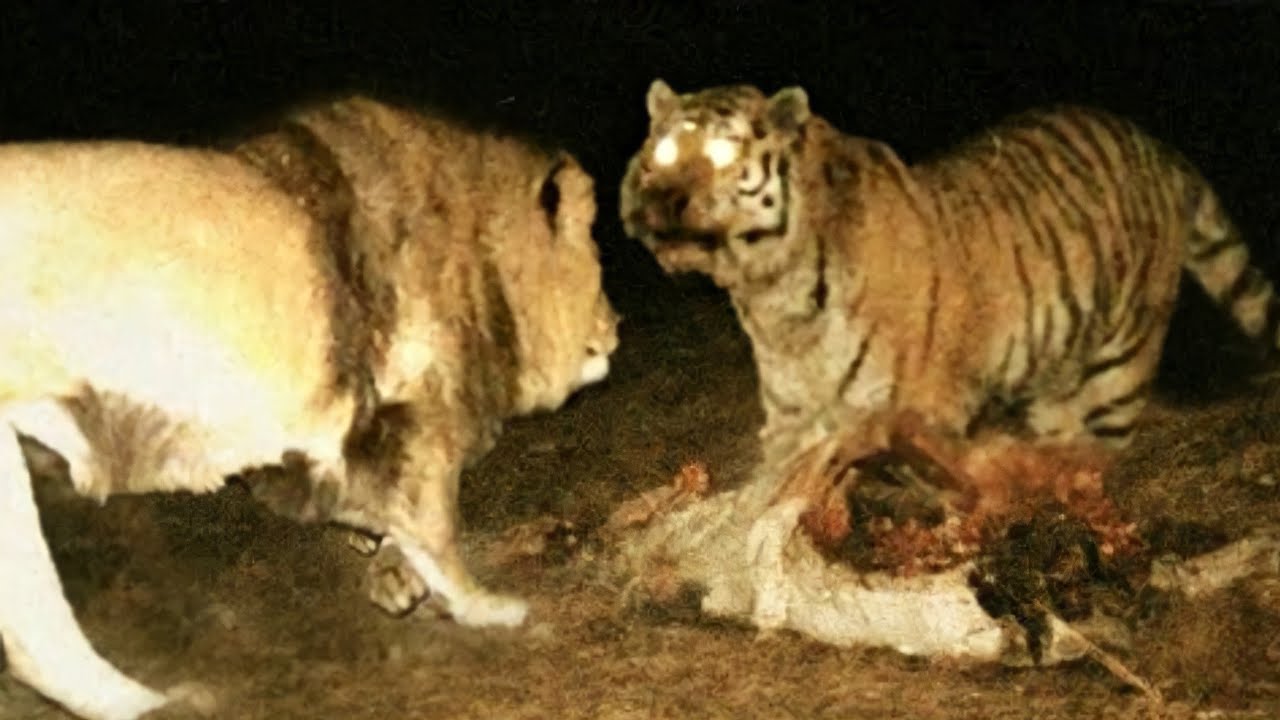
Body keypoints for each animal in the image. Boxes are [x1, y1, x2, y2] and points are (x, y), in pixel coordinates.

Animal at [0, 95, 618, 720]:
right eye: (596, 261)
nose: (616, 328)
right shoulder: (413, 419)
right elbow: (435, 527)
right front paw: (481, 606)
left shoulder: (321, 448)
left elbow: (382, 518)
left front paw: (393, 576)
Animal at [620, 78, 1278, 490]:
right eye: (663, 151)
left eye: (722, 152)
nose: (661, 199)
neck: (774, 296)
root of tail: (1154, 144)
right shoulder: (789, 417)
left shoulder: (923, 409)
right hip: (1055, 373)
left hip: (1120, 366)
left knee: (1104, 451)